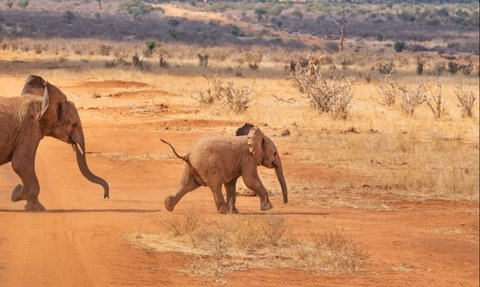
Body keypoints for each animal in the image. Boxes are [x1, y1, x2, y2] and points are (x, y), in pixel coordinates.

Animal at [0, 75, 109, 212]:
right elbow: (21, 163)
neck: (43, 102)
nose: (106, 196)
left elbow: (22, 164)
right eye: (74, 124)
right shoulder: (29, 127)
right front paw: (20, 197)